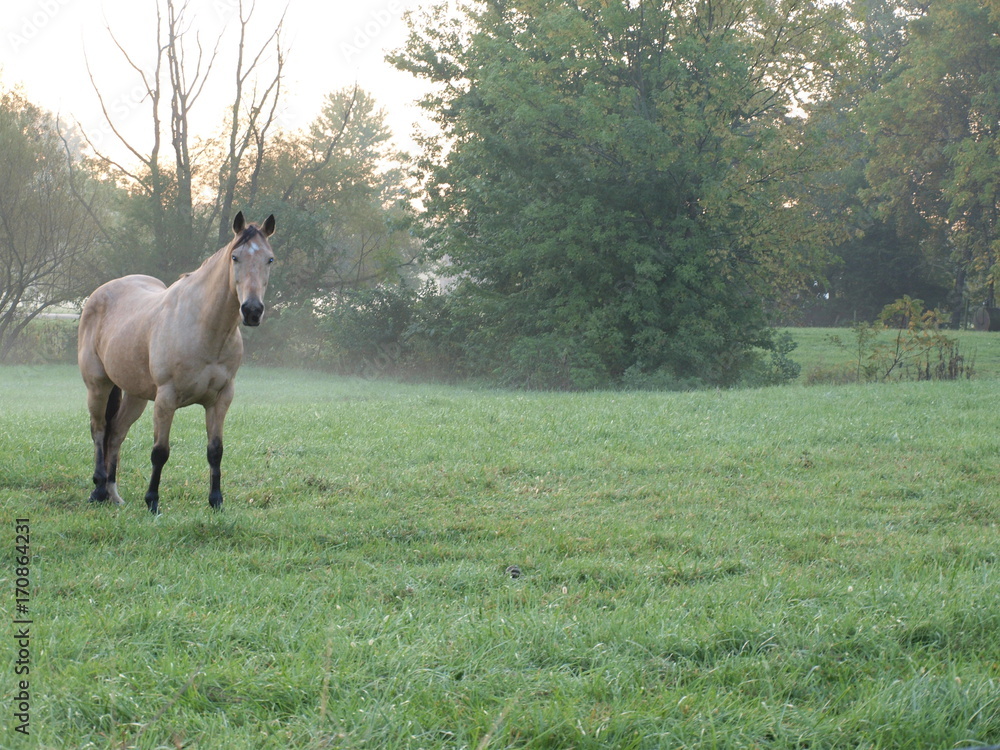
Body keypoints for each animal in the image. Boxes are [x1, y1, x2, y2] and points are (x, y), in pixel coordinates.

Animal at [77, 212, 276, 514]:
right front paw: (152, 502)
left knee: (116, 433)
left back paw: (113, 494)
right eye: (235, 257)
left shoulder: (221, 399)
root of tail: (99, 294)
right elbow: (160, 452)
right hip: (98, 385)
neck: (204, 327)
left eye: (269, 259)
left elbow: (215, 451)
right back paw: (98, 490)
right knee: (99, 430)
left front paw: (216, 501)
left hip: (135, 394)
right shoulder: (166, 399)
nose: (252, 310)